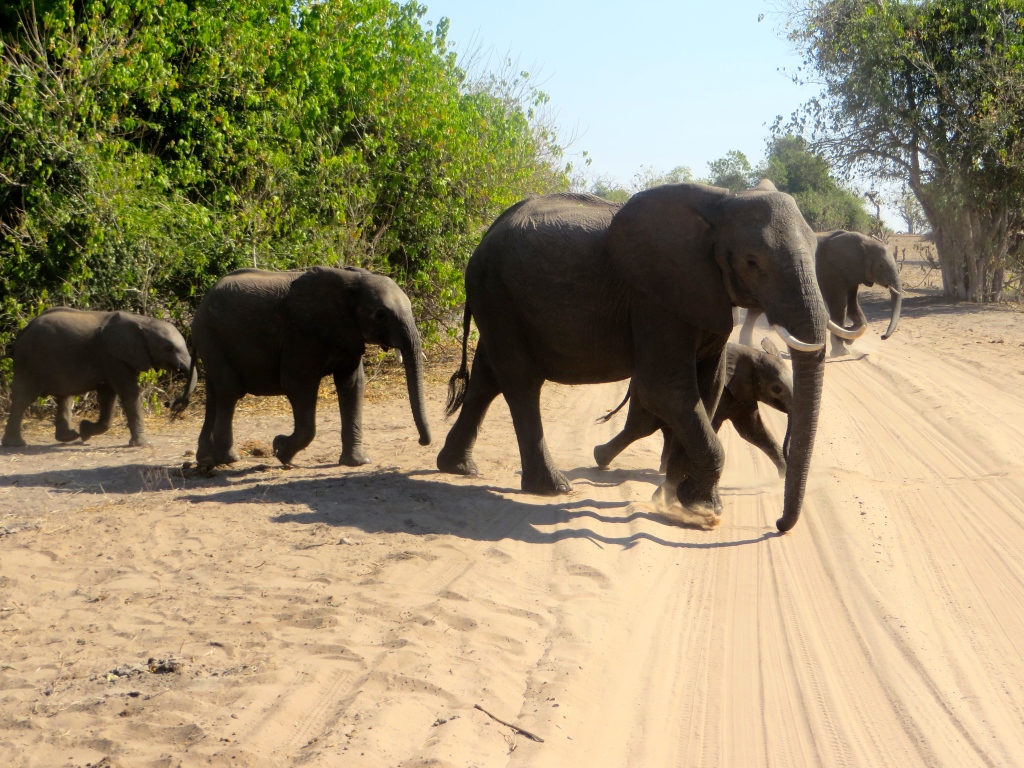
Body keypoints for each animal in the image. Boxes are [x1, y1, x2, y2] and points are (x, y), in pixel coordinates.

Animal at [1, 309, 195, 450]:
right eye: (168, 348)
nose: (172, 404)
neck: (142, 322)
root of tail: (21, 334)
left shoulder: (111, 358)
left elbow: (108, 395)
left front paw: (85, 431)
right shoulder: (112, 356)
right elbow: (128, 392)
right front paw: (143, 444)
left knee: (64, 395)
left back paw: (71, 436)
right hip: (30, 362)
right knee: (23, 398)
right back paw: (16, 445)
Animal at [190, 264, 430, 468]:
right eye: (381, 315)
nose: (422, 442)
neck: (351, 281)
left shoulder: (347, 333)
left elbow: (352, 384)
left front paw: (357, 463)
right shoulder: (300, 335)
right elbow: (297, 384)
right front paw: (280, 450)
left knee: (214, 394)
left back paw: (206, 459)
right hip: (211, 335)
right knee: (229, 392)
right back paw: (229, 459)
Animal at [434, 181, 839, 532]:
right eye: (752, 262)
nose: (779, 525)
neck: (721, 205)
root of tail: (486, 234)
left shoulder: (705, 297)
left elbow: (705, 391)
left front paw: (678, 499)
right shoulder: (655, 298)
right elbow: (669, 390)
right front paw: (702, 510)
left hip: (495, 298)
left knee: (487, 377)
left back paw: (459, 467)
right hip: (497, 293)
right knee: (521, 382)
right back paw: (553, 487)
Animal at [741, 231, 901, 358]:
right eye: (881, 266)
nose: (883, 336)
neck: (865, 241)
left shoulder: (852, 272)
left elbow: (852, 304)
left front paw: (849, 335)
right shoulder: (832, 271)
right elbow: (839, 305)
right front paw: (841, 351)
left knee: (755, 311)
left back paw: (748, 344)